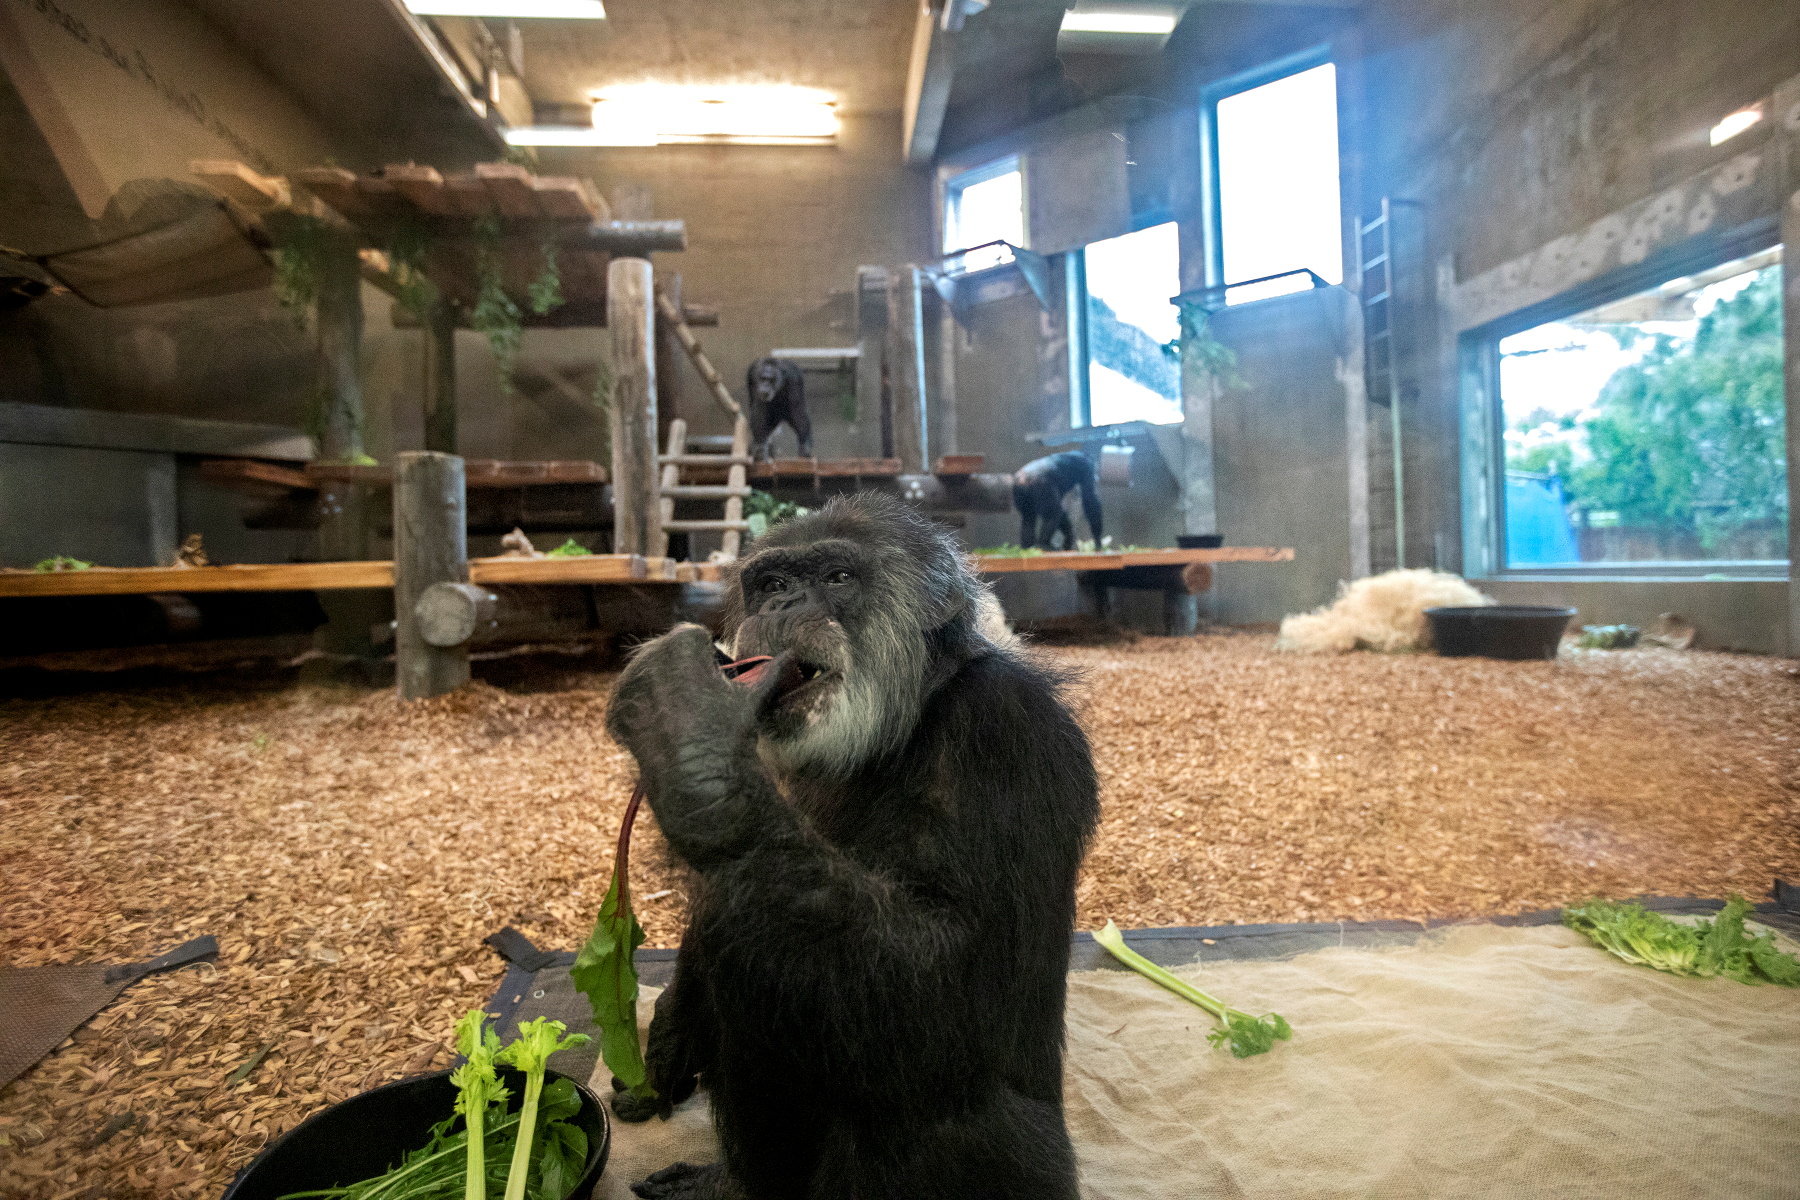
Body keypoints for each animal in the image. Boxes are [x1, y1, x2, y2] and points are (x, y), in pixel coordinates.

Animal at [604, 492, 1094, 1194]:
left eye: (837, 577)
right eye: (771, 583)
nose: (781, 604)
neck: (902, 721)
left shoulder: (1007, 732)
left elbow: (952, 973)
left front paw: (691, 735)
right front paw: (666, 1041)